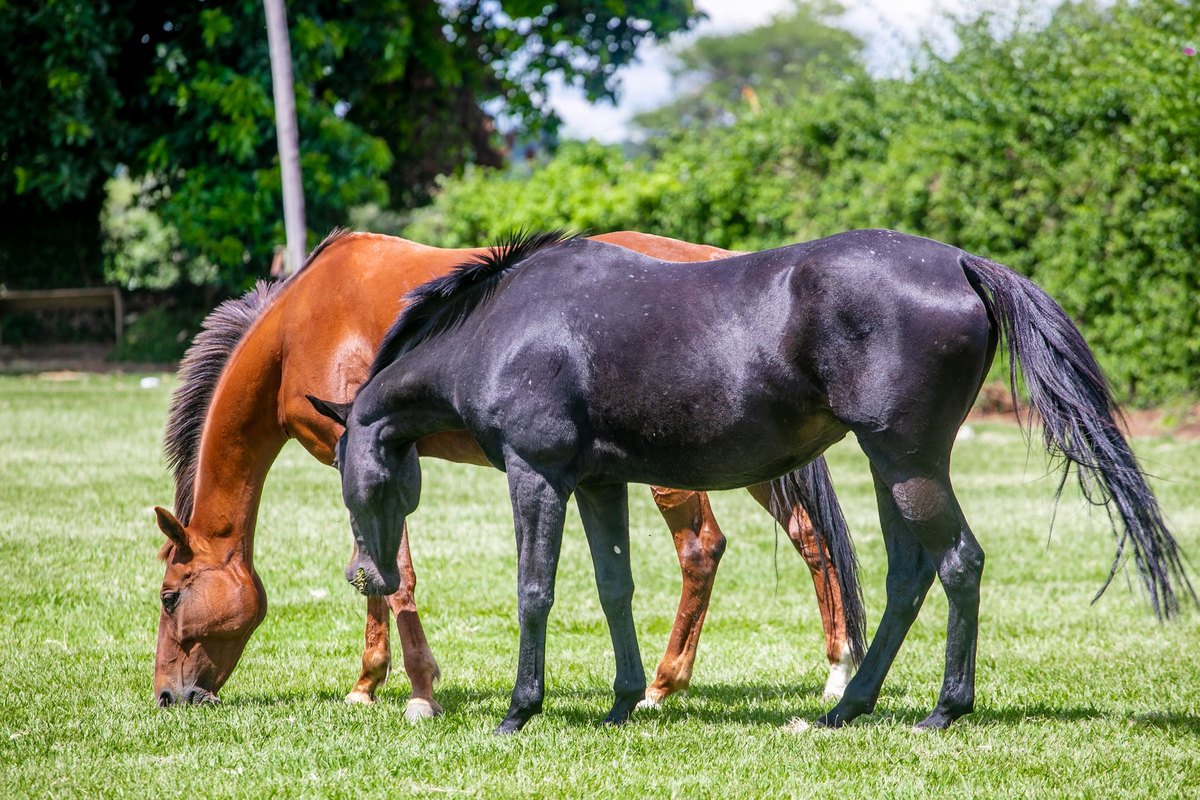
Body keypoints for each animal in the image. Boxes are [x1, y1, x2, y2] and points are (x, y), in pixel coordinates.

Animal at [151, 229, 866, 718]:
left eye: (170, 596)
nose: (167, 695)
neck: (298, 327)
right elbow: (377, 571)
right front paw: (372, 684)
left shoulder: (364, 457)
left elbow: (392, 574)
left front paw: (410, 691)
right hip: (757, 459)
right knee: (810, 538)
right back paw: (836, 669)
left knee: (702, 550)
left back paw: (663, 686)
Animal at [315, 228, 1193, 734]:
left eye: (355, 474)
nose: (368, 575)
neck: (504, 327)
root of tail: (958, 263)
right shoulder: (598, 485)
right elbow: (614, 589)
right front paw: (624, 701)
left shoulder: (539, 478)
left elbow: (536, 591)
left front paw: (519, 711)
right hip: (894, 468)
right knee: (909, 577)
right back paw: (847, 707)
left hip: (907, 463)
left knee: (959, 565)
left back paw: (944, 709)